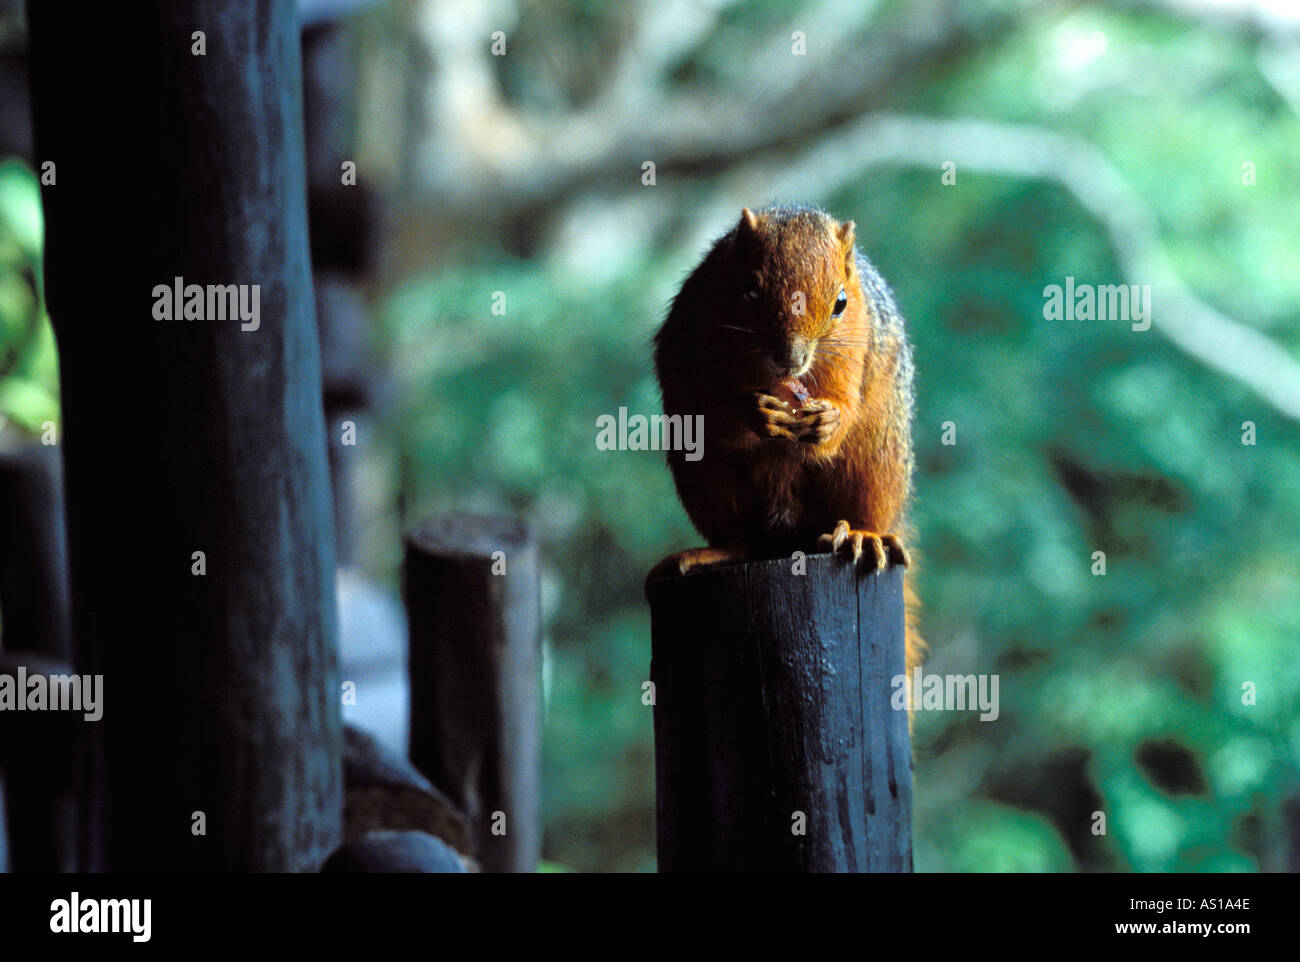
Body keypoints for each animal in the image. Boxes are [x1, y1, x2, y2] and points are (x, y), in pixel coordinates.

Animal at [650, 202, 925, 670]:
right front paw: (754, 413)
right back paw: (714, 552)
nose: (791, 360)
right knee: (741, 538)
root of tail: (788, 533)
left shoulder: (854, 349)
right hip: (706, 476)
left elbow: (845, 407)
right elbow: (714, 410)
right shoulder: (697, 341)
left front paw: (828, 421)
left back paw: (863, 536)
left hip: (877, 463)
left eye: (841, 303)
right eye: (748, 292)